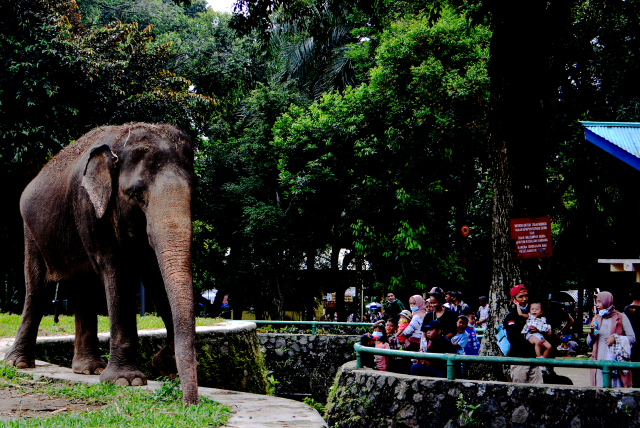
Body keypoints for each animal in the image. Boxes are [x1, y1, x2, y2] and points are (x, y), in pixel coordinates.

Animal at [5, 123, 199, 404]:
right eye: (136, 195)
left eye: (193, 194)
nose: (190, 403)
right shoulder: (89, 206)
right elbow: (116, 271)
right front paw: (126, 381)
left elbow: (154, 274)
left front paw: (164, 365)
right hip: (31, 232)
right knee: (37, 288)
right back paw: (18, 364)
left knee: (83, 287)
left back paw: (88, 369)